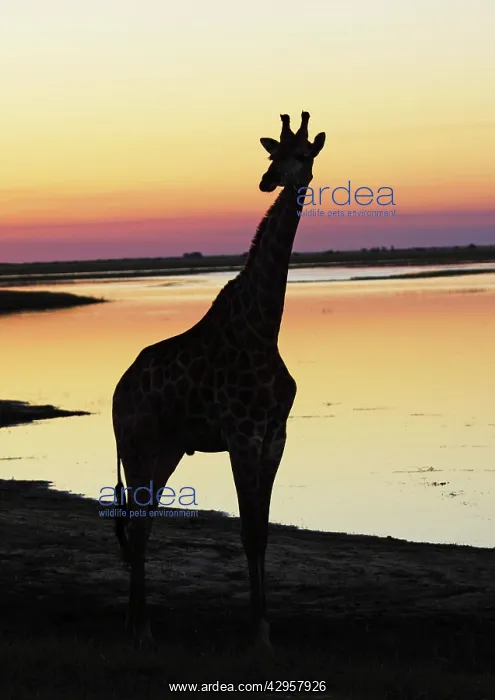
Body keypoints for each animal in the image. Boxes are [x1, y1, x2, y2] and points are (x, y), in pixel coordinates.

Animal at [112, 111, 326, 650]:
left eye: (303, 154)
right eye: (273, 154)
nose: (269, 180)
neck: (265, 325)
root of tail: (117, 392)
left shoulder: (274, 435)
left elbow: (262, 532)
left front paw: (265, 627)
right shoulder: (241, 433)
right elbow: (247, 530)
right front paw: (257, 634)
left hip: (167, 448)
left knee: (142, 523)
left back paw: (136, 623)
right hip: (137, 443)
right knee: (137, 525)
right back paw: (140, 628)